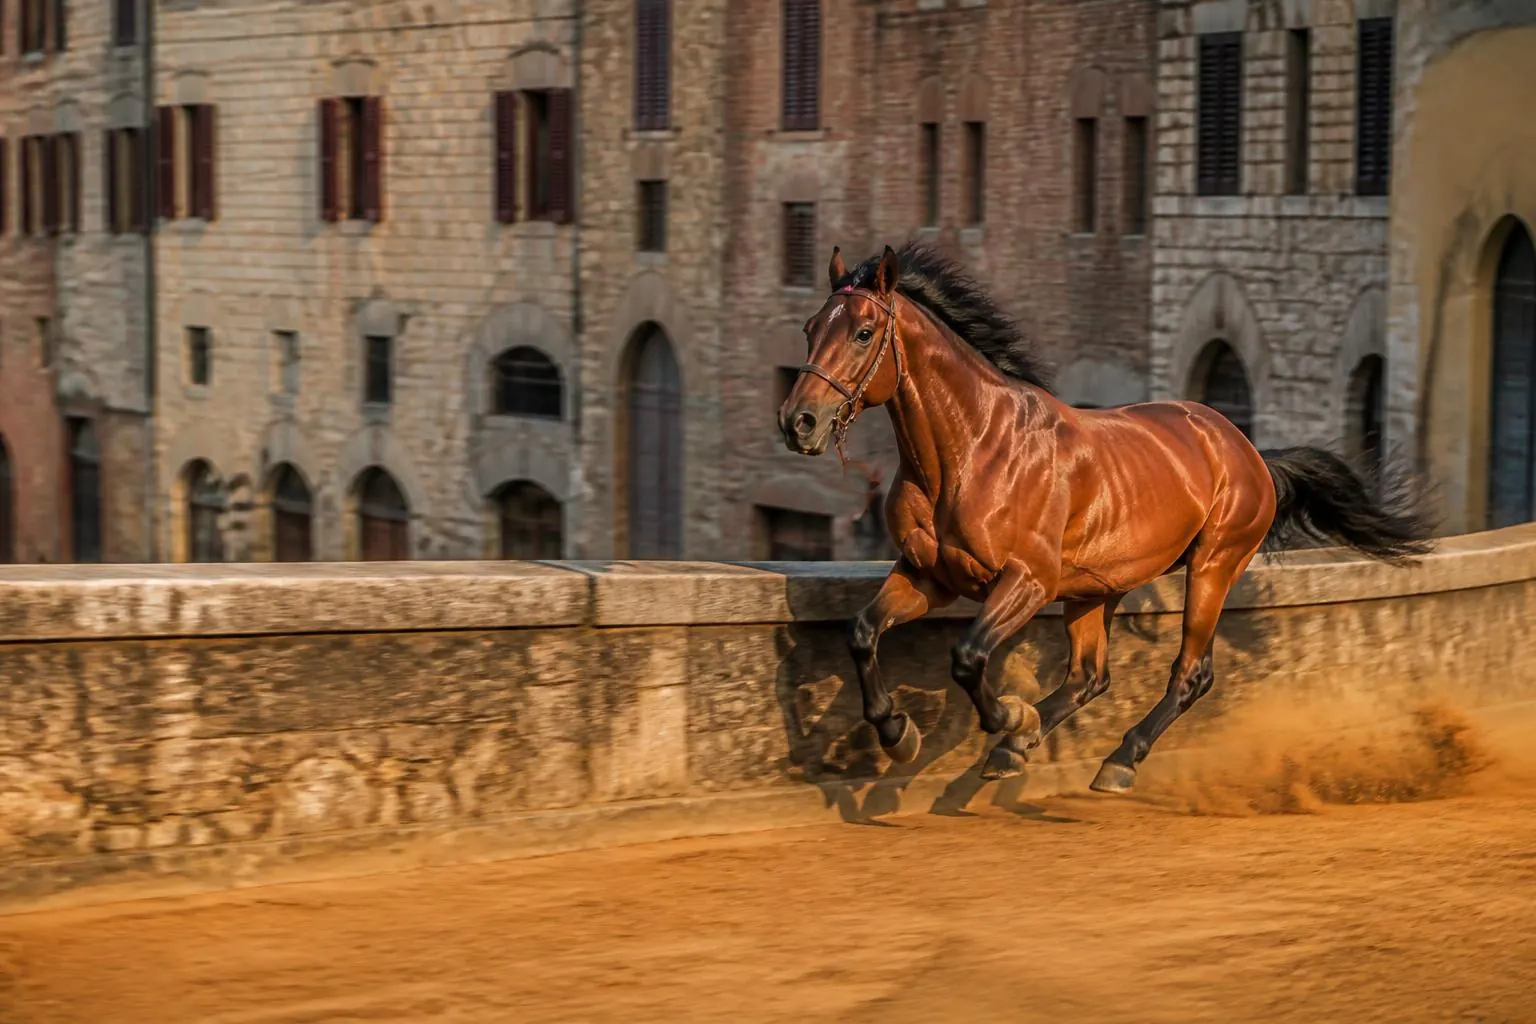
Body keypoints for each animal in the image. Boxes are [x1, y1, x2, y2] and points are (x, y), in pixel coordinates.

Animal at [776, 242, 1434, 793]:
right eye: (809, 329)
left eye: (863, 333)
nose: (798, 422)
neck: (973, 448)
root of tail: (1248, 451)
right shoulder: (929, 575)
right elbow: (863, 632)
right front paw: (899, 733)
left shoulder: (1027, 581)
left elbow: (967, 658)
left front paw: (1007, 716)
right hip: (1095, 589)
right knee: (1091, 676)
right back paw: (1022, 748)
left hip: (1213, 565)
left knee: (1190, 672)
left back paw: (1115, 760)